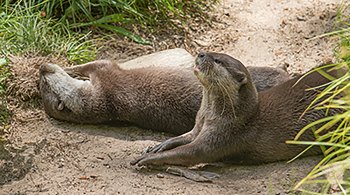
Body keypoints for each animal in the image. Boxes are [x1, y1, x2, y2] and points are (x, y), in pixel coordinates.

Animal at [38, 58, 290, 135]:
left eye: (42, 81)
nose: (41, 68)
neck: (104, 101)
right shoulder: (106, 74)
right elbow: (95, 63)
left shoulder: (104, 74)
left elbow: (87, 65)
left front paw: (67, 66)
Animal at [131, 51, 344, 166]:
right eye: (212, 52)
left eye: (218, 60)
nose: (200, 53)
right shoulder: (199, 126)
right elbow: (185, 137)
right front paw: (159, 146)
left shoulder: (223, 135)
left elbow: (191, 152)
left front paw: (148, 159)